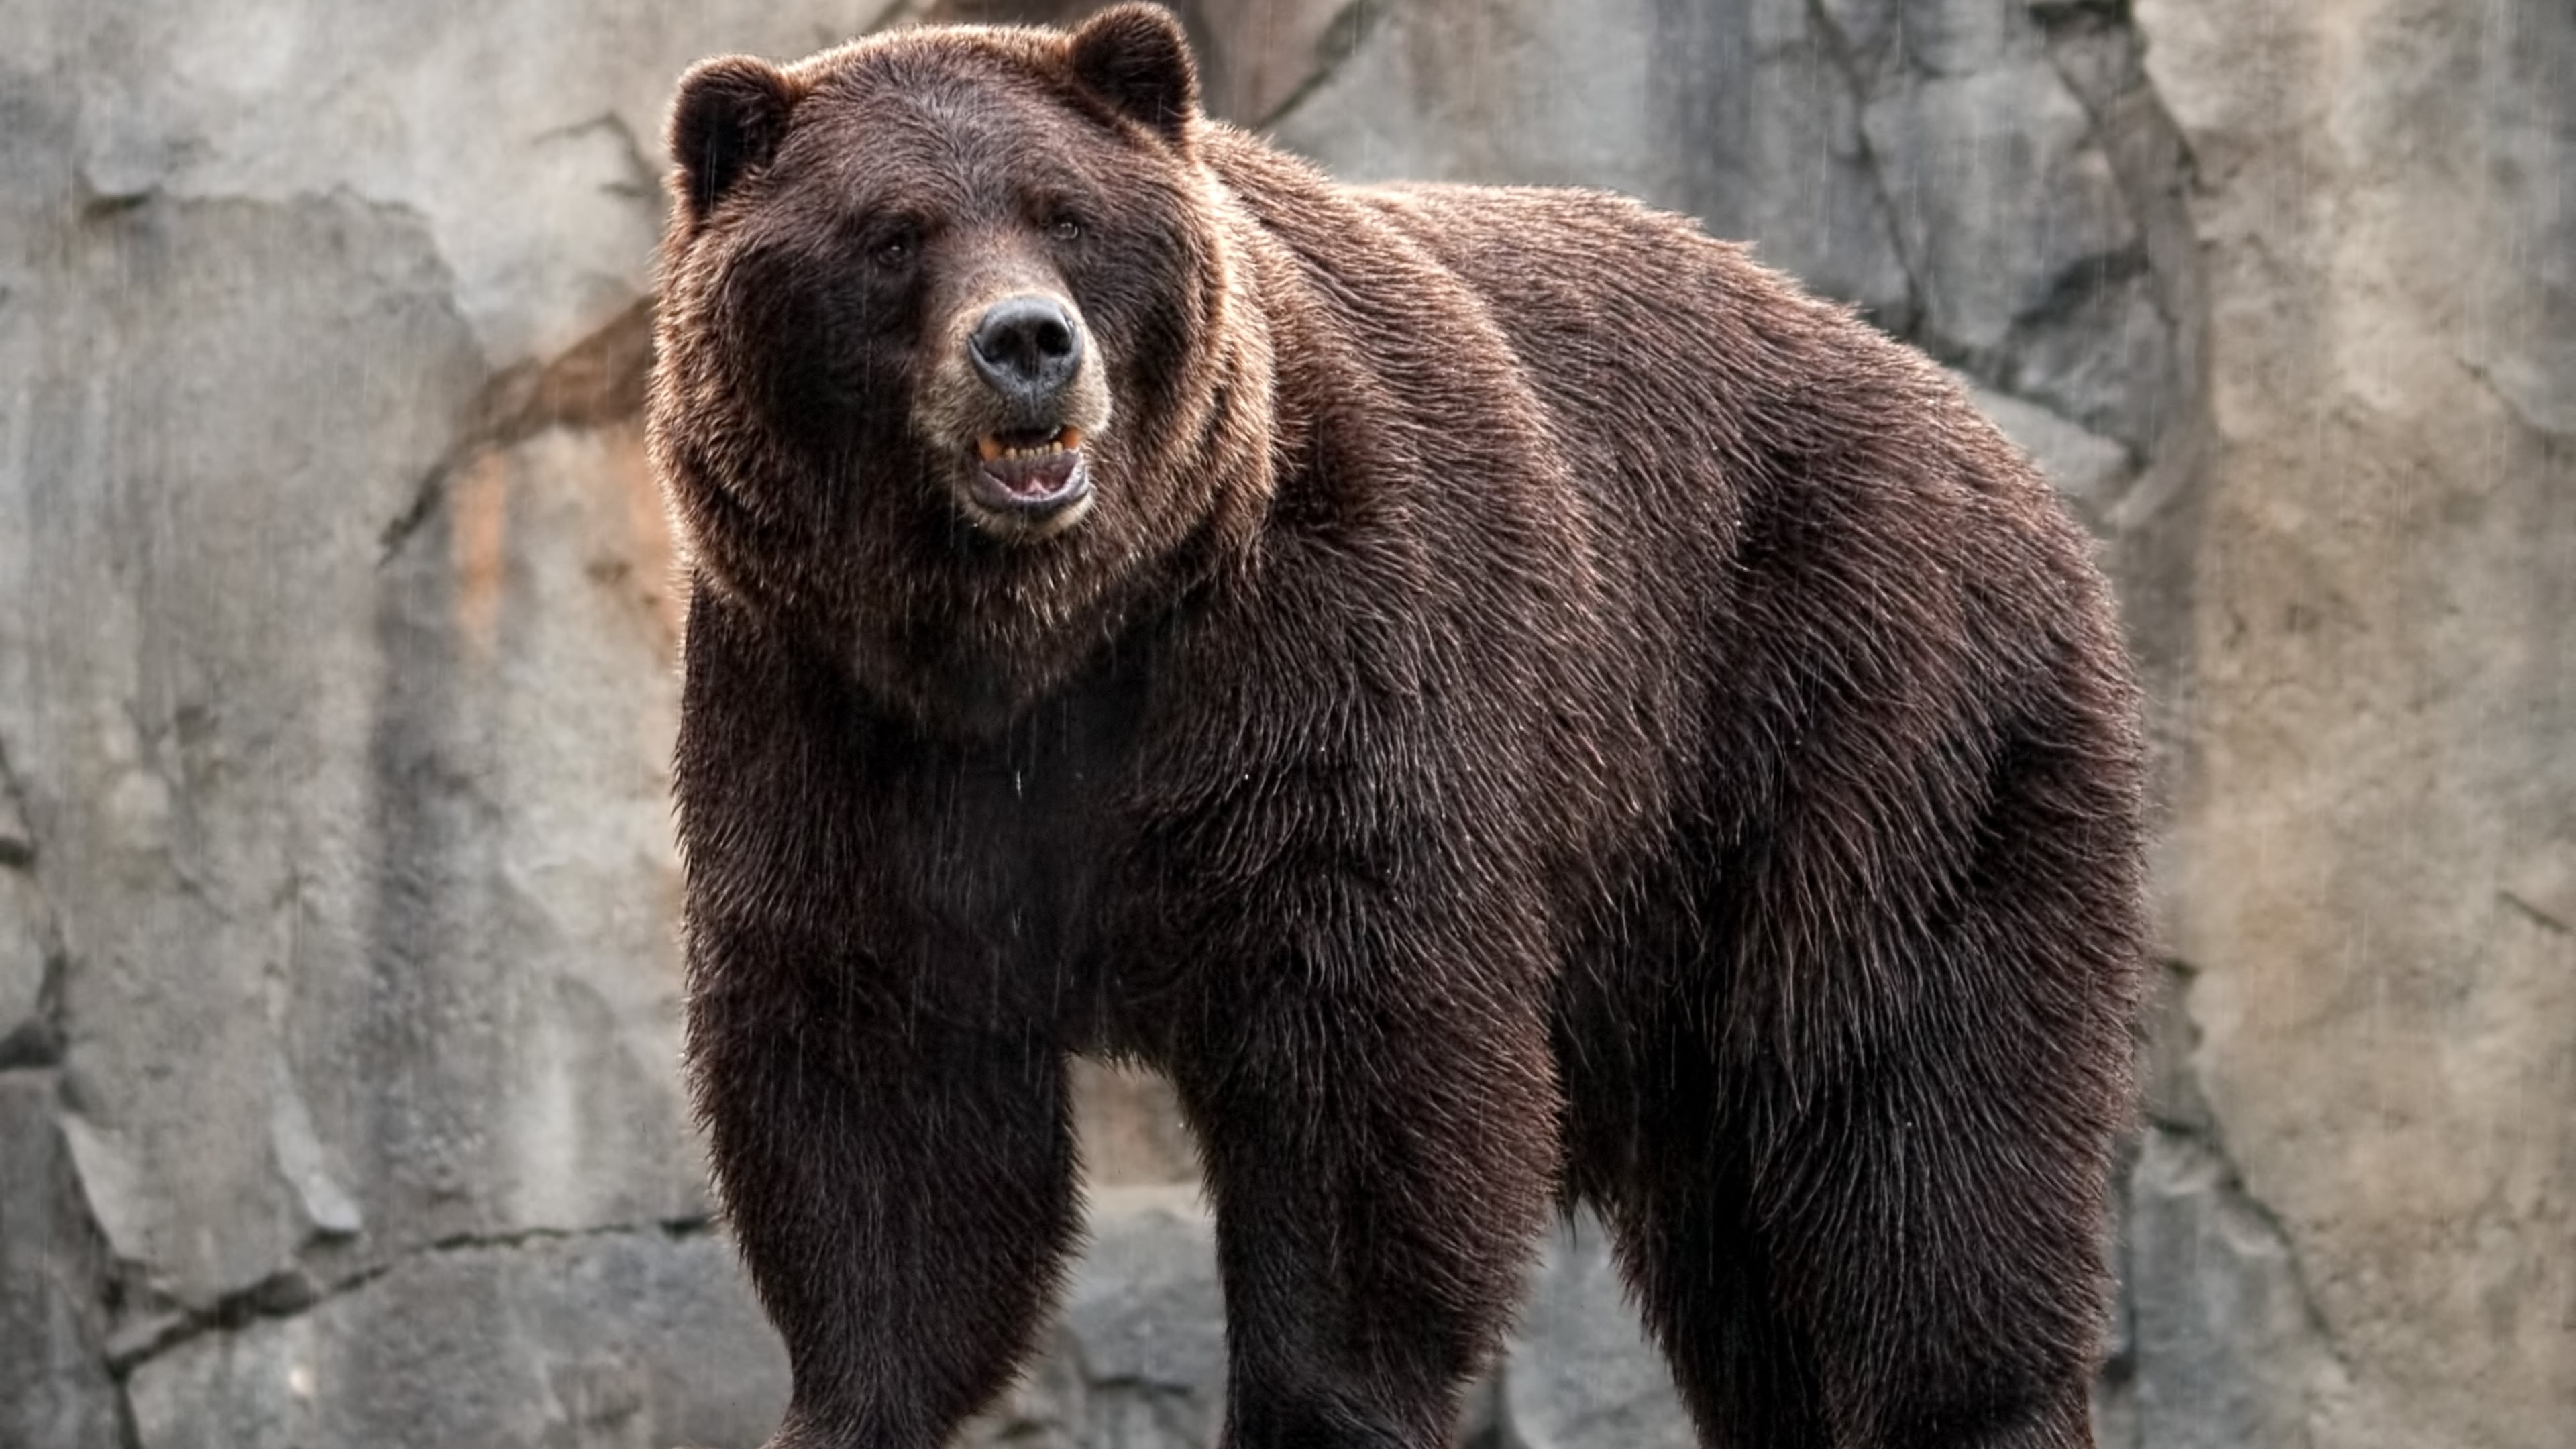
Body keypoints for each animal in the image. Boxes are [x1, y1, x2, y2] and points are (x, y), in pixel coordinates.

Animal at [654, 5, 2143, 1433]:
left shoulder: (1325, 665)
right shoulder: (837, 726)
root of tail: (1993, 447)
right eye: (894, 232)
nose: (1028, 344)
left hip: (1866, 721)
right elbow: (878, 1107)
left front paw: (1323, 1402)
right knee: (1745, 1258)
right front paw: (853, 1396)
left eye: (1062, 211)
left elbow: (1363, 1074)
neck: (1047, 643)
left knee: (1913, 1123)